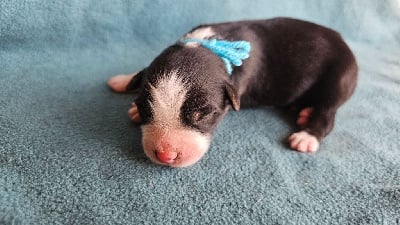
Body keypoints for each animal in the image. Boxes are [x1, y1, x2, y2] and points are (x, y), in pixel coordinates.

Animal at [108, 17, 358, 167]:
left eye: (203, 114)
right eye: (145, 107)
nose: (165, 156)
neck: (208, 47)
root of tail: (342, 40)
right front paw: (125, 83)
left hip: (339, 77)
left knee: (327, 112)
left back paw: (306, 135)